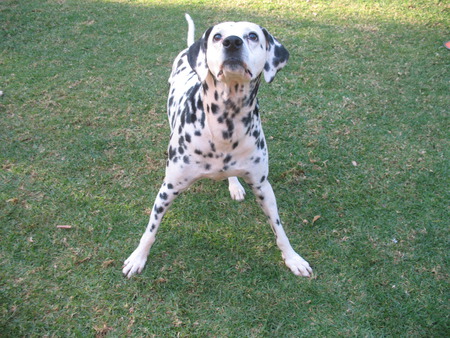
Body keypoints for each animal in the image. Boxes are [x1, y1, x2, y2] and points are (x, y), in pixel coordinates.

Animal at [123, 13, 312, 278]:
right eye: (217, 36)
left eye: (252, 36)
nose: (232, 42)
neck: (226, 124)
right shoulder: (167, 189)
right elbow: (150, 229)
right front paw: (138, 257)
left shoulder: (263, 187)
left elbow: (279, 229)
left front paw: (293, 258)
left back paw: (234, 185)